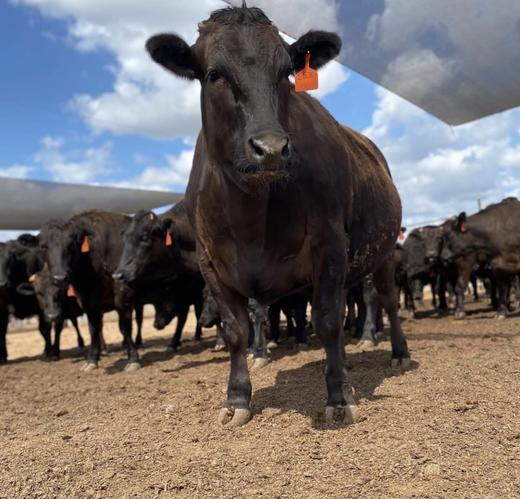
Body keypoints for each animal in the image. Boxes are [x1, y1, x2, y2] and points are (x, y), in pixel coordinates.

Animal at [39, 211, 140, 372]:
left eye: (71, 244)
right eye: (43, 247)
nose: (60, 278)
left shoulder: (122, 293)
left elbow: (125, 326)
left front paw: (133, 359)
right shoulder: (88, 302)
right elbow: (93, 328)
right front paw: (91, 360)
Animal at [146, 3, 410, 428]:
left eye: (286, 71)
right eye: (213, 74)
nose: (270, 148)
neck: (252, 218)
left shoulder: (330, 244)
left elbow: (327, 320)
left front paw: (339, 396)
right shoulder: (210, 262)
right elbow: (236, 330)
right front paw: (237, 398)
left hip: (383, 254)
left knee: (386, 301)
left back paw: (399, 352)